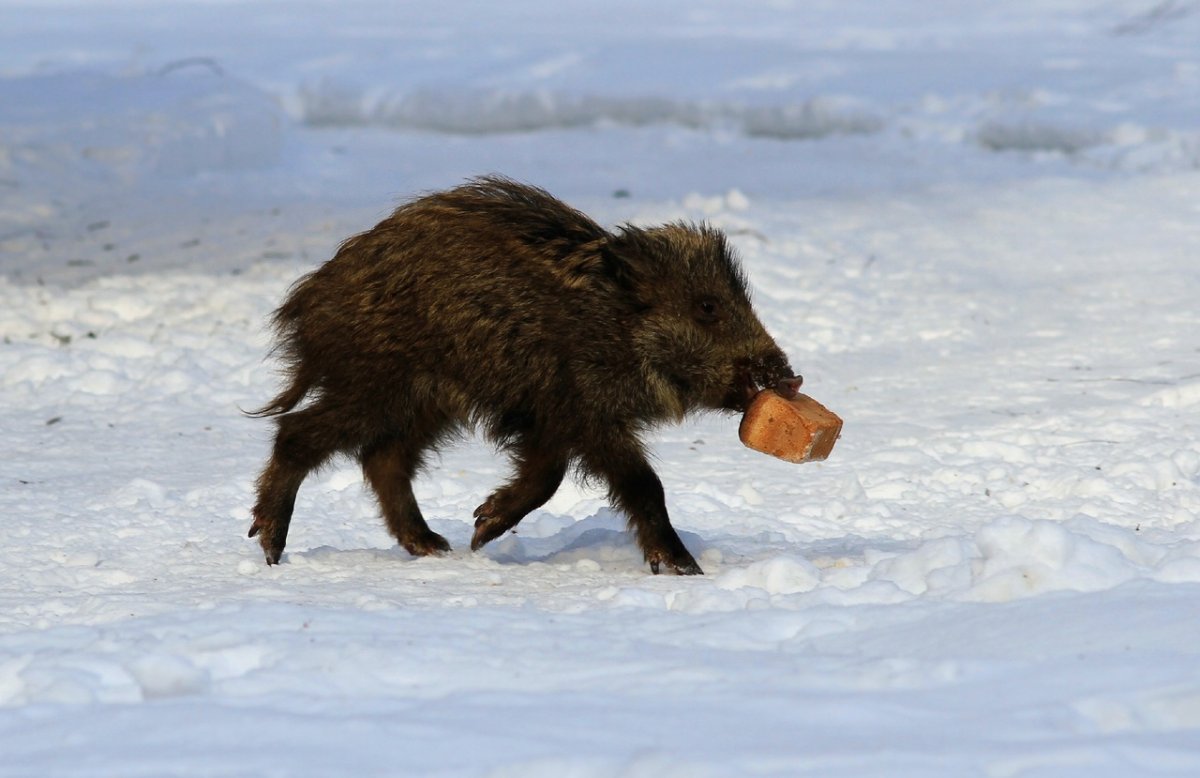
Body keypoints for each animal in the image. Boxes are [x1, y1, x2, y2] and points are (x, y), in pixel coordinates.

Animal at [248, 176, 800, 575]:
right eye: (707, 307)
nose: (790, 378)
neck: (614, 328)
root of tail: (310, 297)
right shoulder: (583, 412)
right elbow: (640, 483)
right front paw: (686, 569)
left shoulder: (550, 419)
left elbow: (546, 476)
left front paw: (481, 529)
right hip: (378, 385)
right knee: (300, 433)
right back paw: (272, 550)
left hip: (427, 403)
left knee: (383, 457)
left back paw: (436, 547)